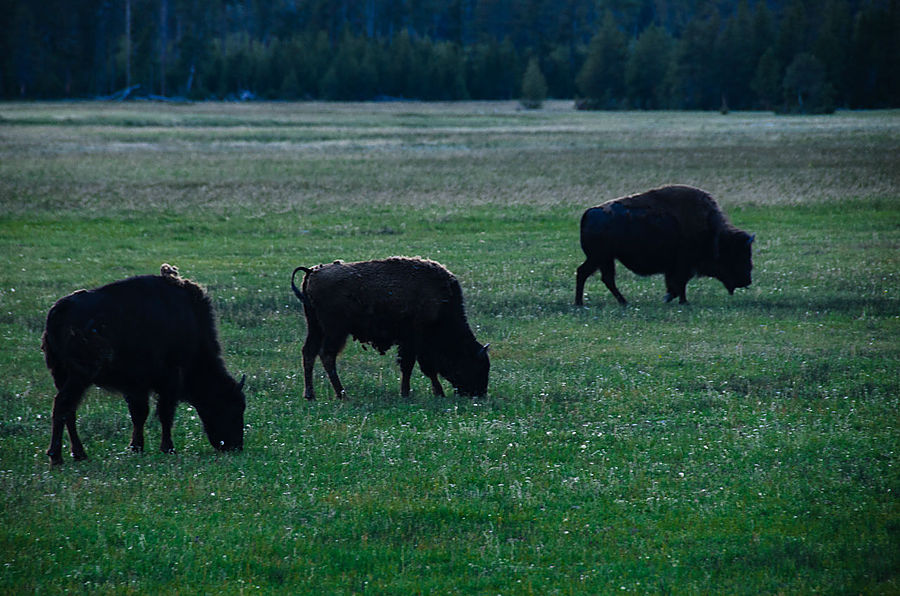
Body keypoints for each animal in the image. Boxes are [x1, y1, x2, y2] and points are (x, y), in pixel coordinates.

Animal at [42, 266, 246, 466]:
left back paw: (78, 454)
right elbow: (164, 413)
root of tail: (60, 309)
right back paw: (57, 456)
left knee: (69, 411)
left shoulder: (137, 385)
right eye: (233, 407)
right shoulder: (169, 380)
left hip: (61, 374)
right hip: (80, 375)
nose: (235, 446)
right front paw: (168, 448)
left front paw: (136, 447)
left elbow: (139, 414)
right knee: (62, 405)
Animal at [292, 258, 488, 400]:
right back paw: (342, 395)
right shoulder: (414, 341)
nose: (479, 394)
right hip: (335, 330)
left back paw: (310, 395)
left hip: (316, 327)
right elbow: (414, 366)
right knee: (326, 355)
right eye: (475, 365)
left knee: (309, 352)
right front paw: (412, 394)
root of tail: (312, 272)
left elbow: (418, 367)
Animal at [576, 185, 752, 308]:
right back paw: (580, 303)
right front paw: (677, 300)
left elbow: (678, 284)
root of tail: (588, 213)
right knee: (584, 273)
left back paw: (623, 302)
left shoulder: (677, 268)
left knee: (606, 279)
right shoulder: (683, 266)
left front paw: (676, 300)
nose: (747, 280)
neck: (713, 231)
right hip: (599, 258)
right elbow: (679, 283)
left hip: (606, 259)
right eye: (738, 255)